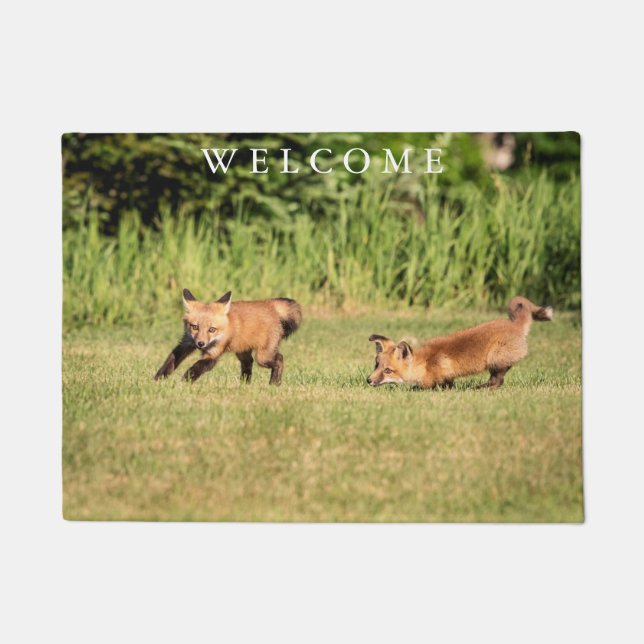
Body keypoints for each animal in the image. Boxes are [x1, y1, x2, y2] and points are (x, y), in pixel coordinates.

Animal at [154, 289, 302, 385]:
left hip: (263, 357)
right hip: (242, 352)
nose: (200, 344)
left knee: (279, 359)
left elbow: (197, 366)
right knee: (248, 363)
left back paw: (274, 383)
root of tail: (270, 304)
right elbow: (170, 361)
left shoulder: (213, 353)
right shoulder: (186, 343)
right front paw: (158, 379)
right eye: (195, 327)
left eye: (211, 329)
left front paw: (185, 381)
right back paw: (244, 385)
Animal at [367, 296, 553, 389]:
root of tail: (514, 324)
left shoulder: (438, 377)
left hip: (495, 359)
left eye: (388, 370)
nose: (368, 380)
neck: (424, 363)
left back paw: (477, 388)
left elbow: (426, 387)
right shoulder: (448, 377)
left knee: (498, 381)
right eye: (376, 365)